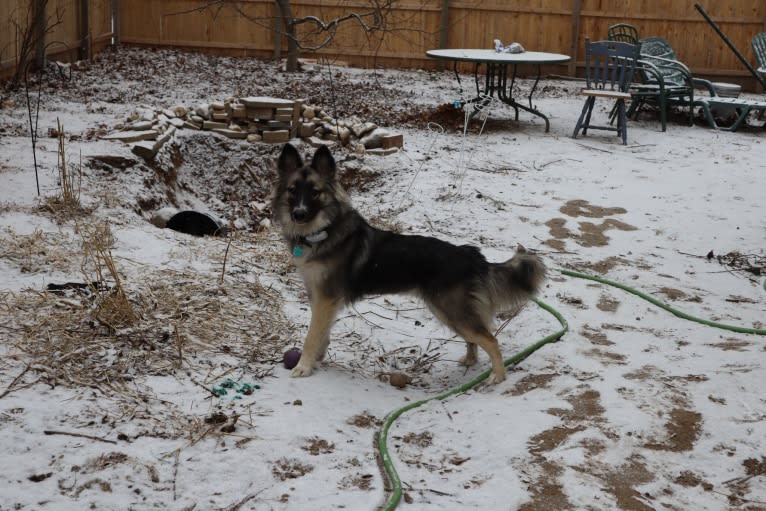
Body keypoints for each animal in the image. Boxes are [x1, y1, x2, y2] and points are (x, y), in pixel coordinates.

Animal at [270, 144, 544, 384]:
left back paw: (498, 376)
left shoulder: (325, 299)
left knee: (491, 340)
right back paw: (470, 360)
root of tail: (472, 256)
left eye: (315, 192)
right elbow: (323, 335)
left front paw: (303, 366)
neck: (324, 231)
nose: (299, 214)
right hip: (453, 312)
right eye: (292, 190)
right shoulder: (322, 299)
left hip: (450, 310)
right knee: (477, 338)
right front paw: (317, 361)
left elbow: (312, 336)